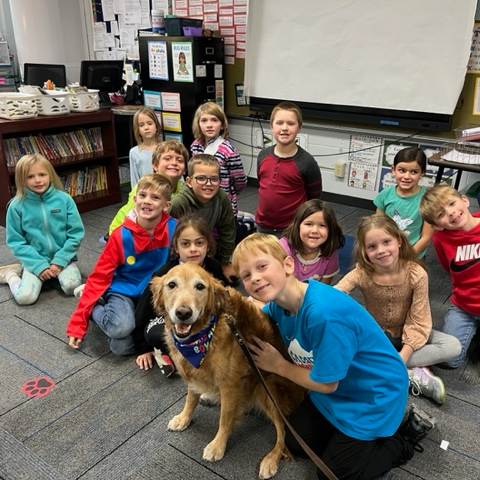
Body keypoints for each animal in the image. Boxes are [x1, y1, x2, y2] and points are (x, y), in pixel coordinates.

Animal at [151, 262, 308, 480]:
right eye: (171, 285)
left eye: (200, 287)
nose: (183, 312)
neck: (201, 337)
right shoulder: (194, 374)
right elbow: (190, 398)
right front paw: (184, 418)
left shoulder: (230, 384)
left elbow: (225, 419)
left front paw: (218, 445)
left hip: (267, 385)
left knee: (283, 431)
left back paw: (270, 460)